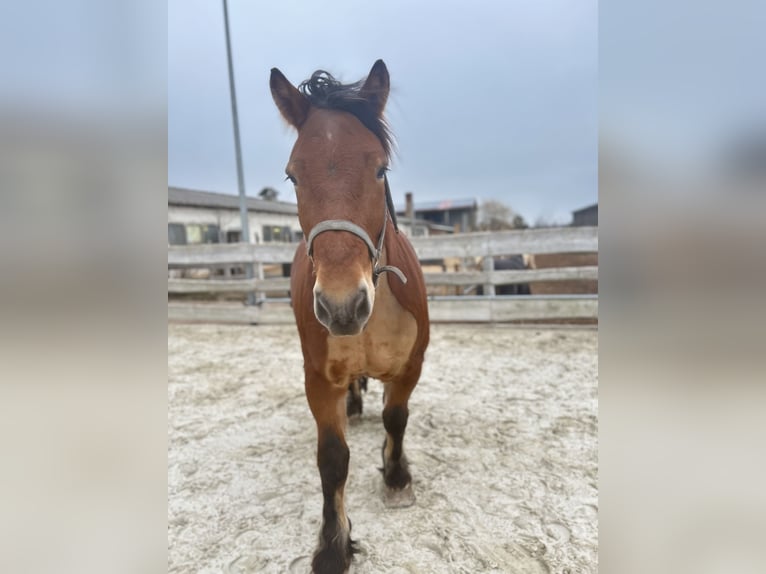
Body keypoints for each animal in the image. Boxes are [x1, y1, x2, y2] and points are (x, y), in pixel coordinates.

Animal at [270, 60, 428, 572]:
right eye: (292, 176)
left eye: (380, 169)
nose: (342, 305)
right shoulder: (319, 380)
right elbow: (333, 459)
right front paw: (334, 545)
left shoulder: (411, 366)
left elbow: (396, 418)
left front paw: (396, 478)